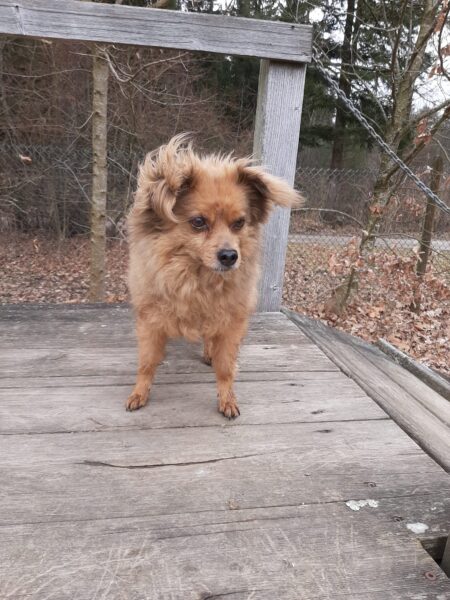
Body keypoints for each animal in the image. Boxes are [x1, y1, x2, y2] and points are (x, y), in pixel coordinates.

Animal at [126, 135, 302, 418]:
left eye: (239, 223)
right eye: (198, 222)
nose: (229, 255)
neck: (197, 281)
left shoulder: (230, 323)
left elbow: (226, 368)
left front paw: (227, 398)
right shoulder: (150, 320)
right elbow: (147, 363)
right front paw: (139, 392)